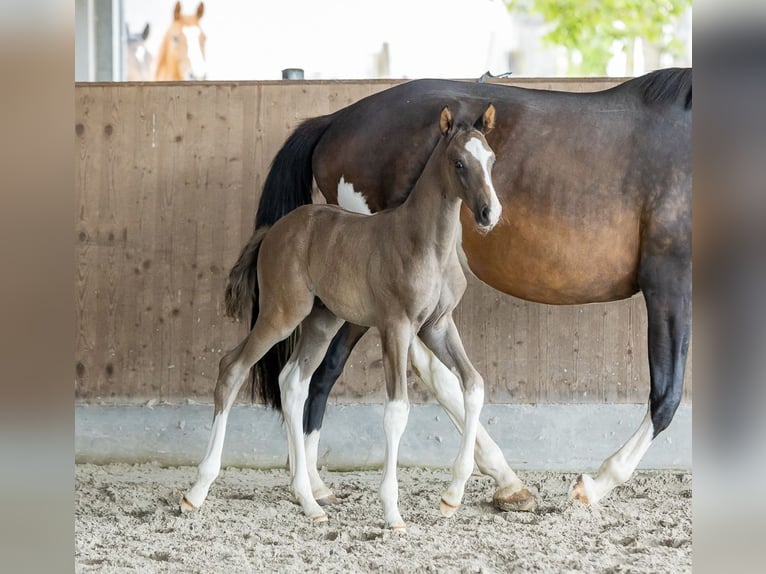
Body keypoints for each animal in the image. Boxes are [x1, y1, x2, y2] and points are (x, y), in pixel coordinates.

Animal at [182, 104, 500, 532]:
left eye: (491, 159)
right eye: (459, 162)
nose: (489, 213)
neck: (424, 243)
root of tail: (273, 230)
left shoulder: (437, 326)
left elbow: (474, 385)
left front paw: (452, 496)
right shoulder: (396, 327)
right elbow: (397, 410)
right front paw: (392, 512)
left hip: (321, 322)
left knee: (293, 383)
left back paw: (308, 500)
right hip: (282, 314)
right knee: (232, 367)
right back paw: (197, 490)